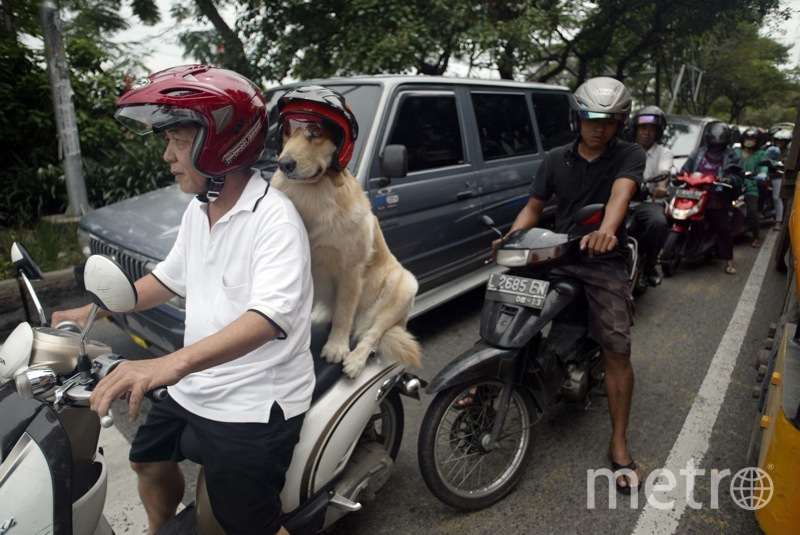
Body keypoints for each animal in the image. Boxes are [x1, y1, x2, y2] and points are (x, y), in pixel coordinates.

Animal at [274, 85, 424, 376]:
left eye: (315, 131)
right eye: (286, 130)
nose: (285, 164)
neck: (313, 195)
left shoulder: (350, 271)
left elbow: (344, 312)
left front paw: (337, 348)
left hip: (404, 288)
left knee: (373, 332)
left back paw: (356, 359)